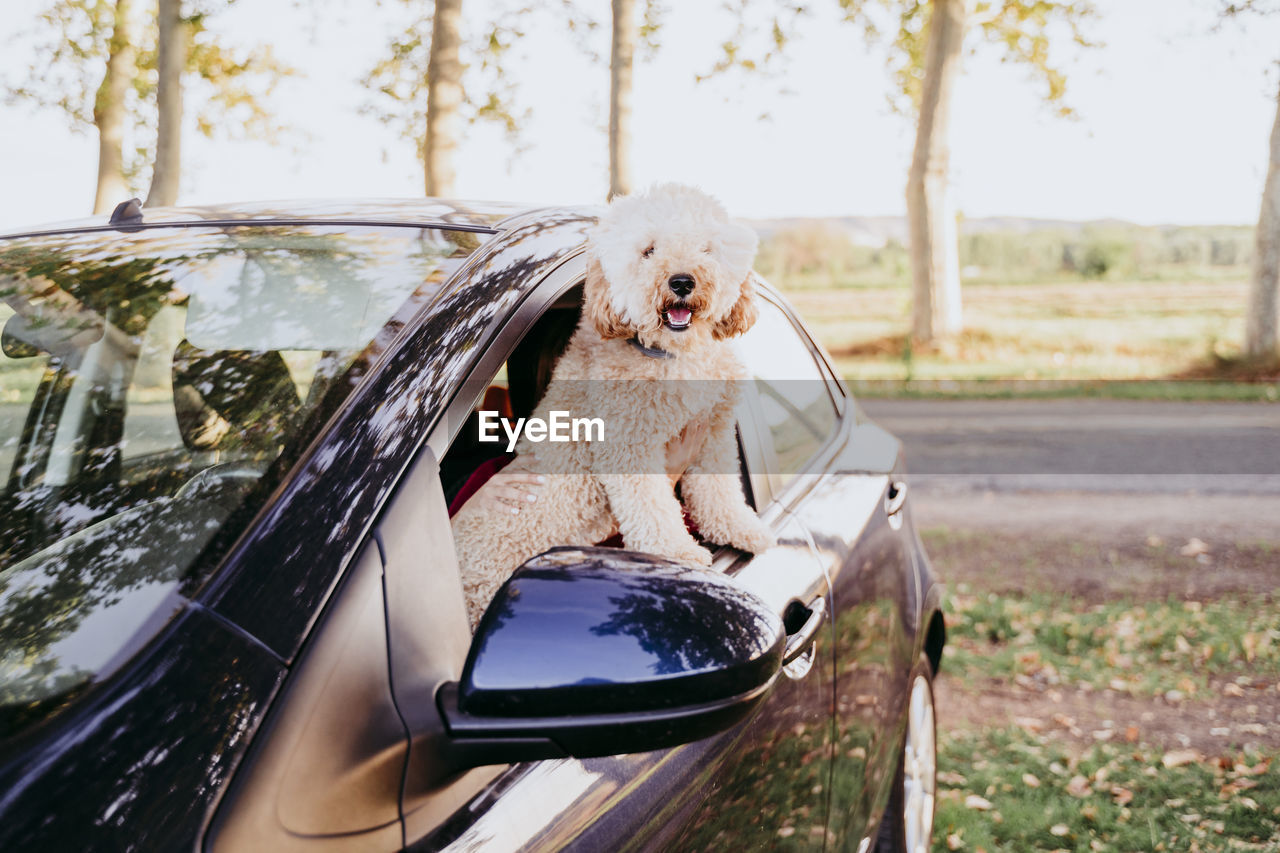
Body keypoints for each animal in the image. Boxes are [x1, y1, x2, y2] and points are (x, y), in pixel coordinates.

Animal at [453, 184, 768, 625]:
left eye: (706, 249)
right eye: (648, 251)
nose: (682, 281)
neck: (673, 354)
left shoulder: (715, 434)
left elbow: (719, 493)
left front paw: (742, 529)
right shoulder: (628, 444)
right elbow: (652, 508)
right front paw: (678, 553)